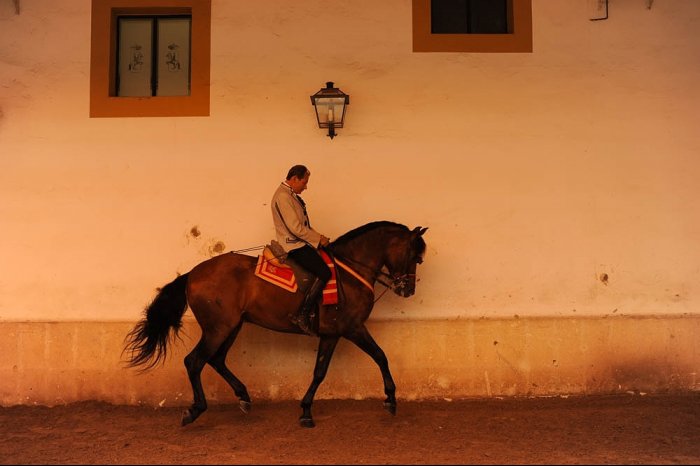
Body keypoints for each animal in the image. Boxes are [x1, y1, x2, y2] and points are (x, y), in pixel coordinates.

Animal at [124, 220, 426, 428]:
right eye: (414, 256)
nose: (408, 290)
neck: (351, 271)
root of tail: (193, 273)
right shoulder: (353, 328)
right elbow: (381, 356)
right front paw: (391, 399)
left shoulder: (331, 334)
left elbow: (320, 372)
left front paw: (306, 411)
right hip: (218, 328)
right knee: (195, 361)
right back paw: (195, 410)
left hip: (232, 326)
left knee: (216, 360)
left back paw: (244, 397)